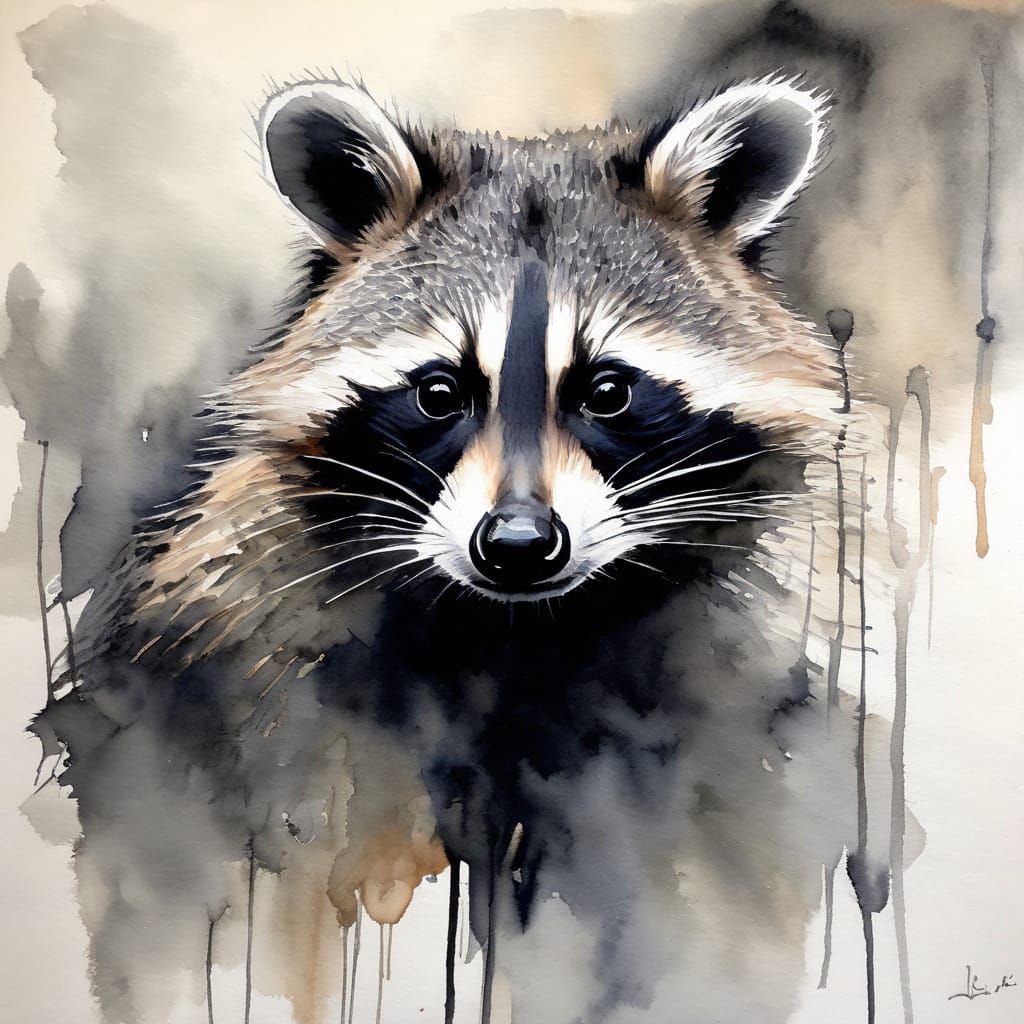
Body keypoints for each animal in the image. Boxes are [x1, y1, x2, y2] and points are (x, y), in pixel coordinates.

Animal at [34, 76, 883, 1024]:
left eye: (608, 390)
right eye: (440, 392)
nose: (517, 544)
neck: (519, 626)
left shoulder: (722, 678)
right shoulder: (270, 673)